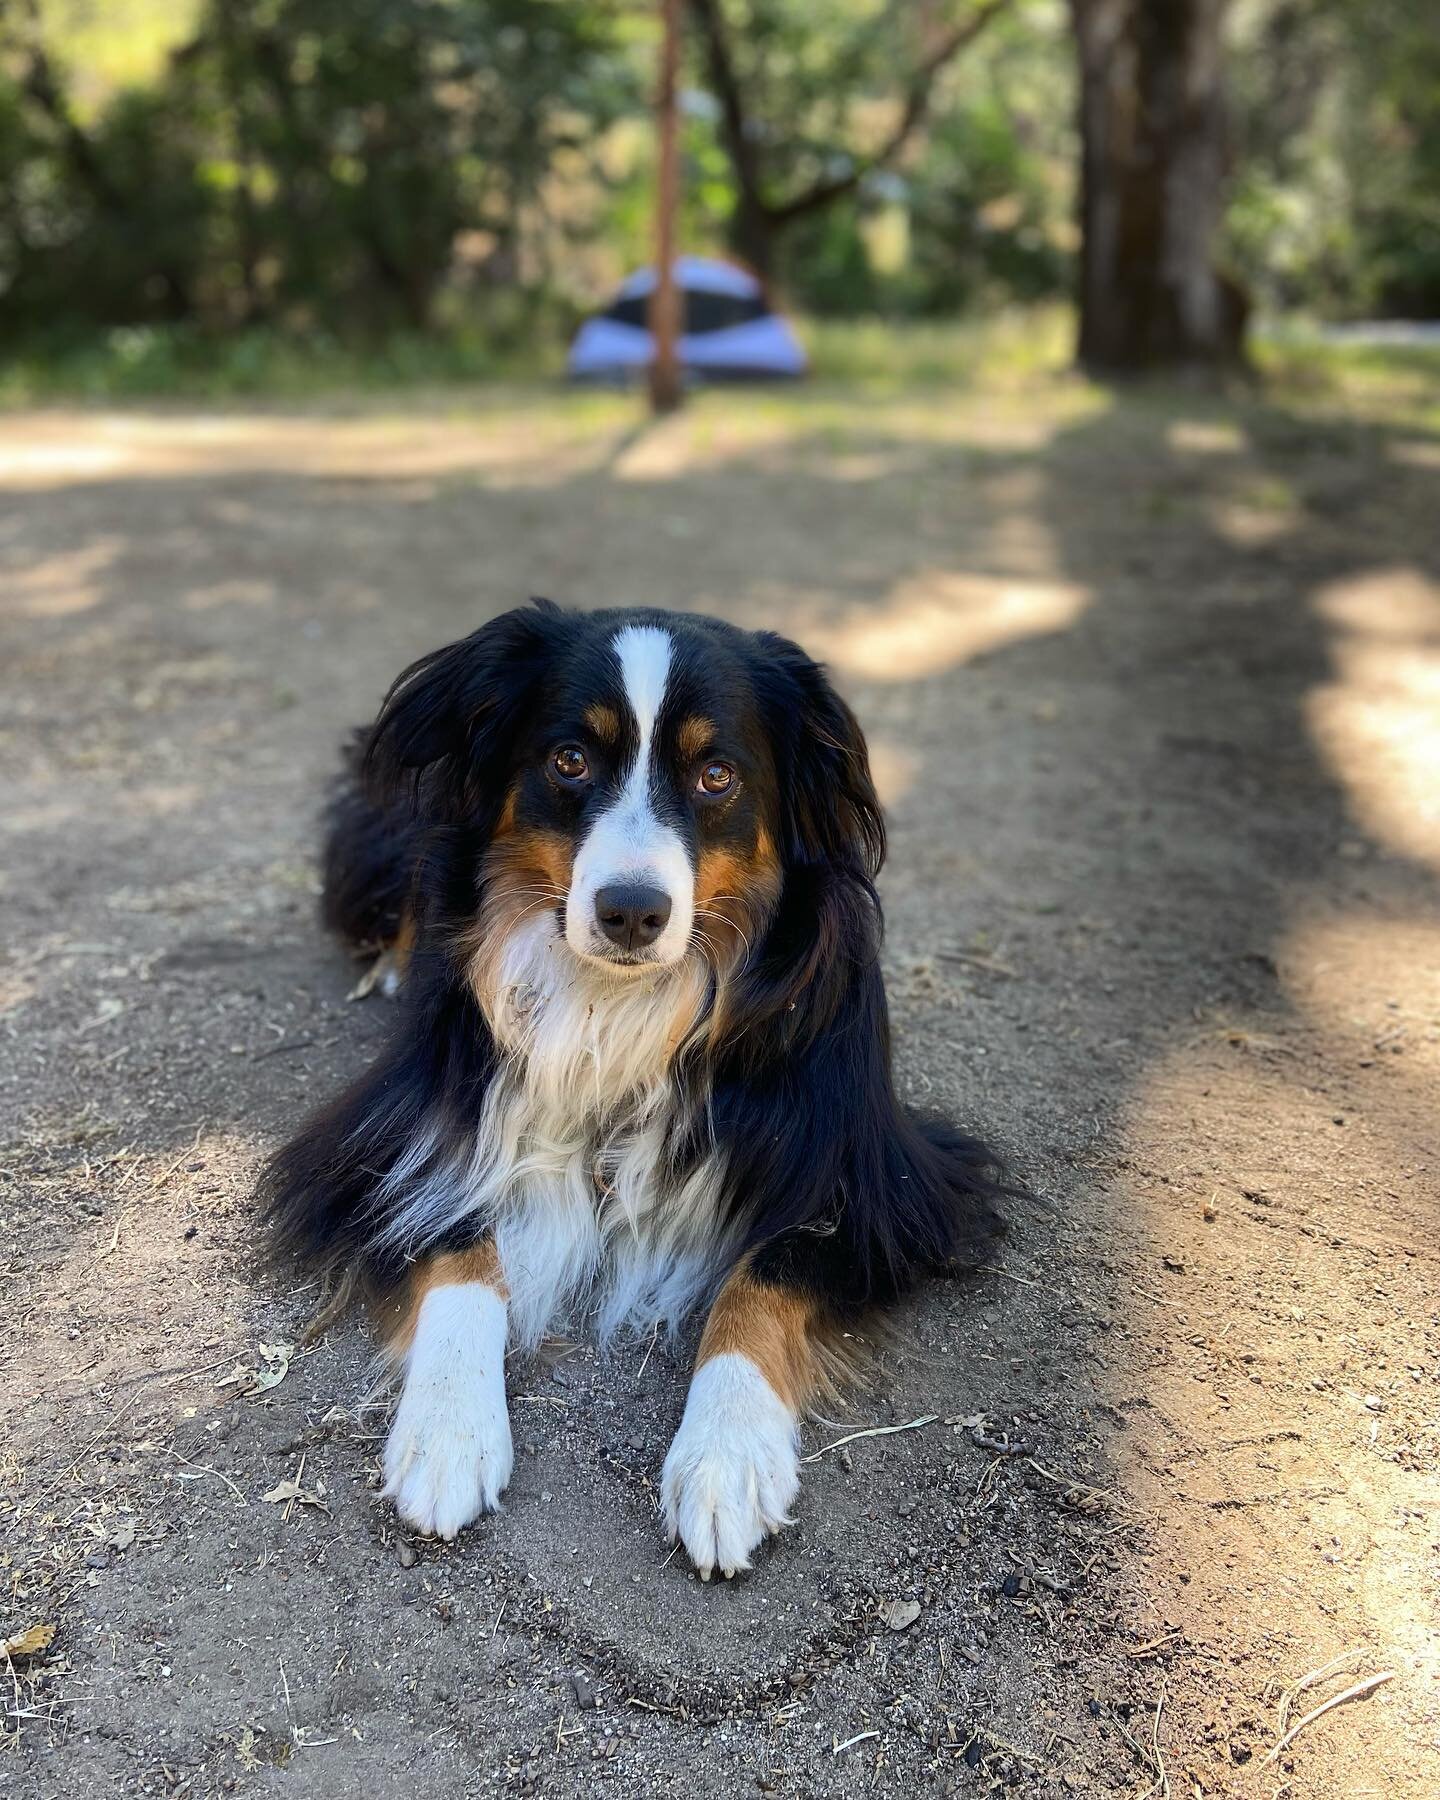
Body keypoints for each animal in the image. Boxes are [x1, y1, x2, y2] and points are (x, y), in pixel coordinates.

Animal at [264, 597, 1008, 1569]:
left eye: (718, 775)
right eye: (569, 760)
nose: (630, 912)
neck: (619, 1004)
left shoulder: (875, 1178)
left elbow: (765, 1274)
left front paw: (727, 1458)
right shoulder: (391, 1139)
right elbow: (456, 1235)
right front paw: (449, 1433)